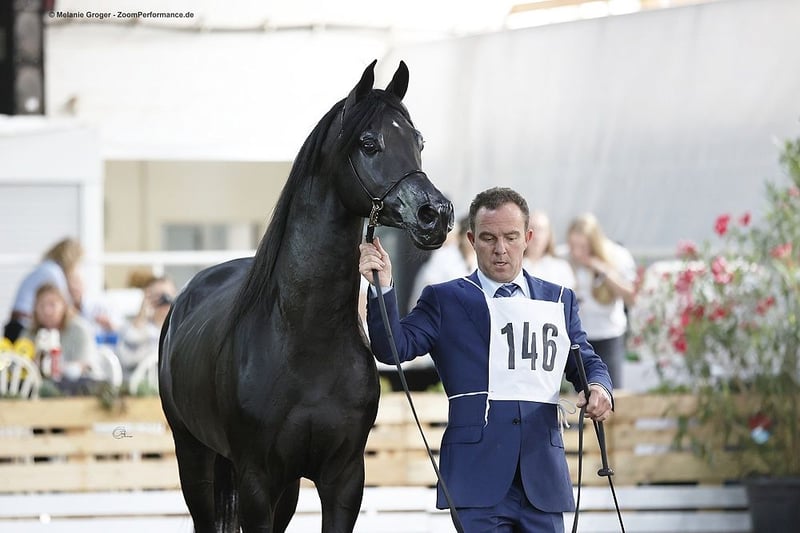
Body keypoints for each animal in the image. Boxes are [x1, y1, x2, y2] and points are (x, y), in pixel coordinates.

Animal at [158, 60, 454, 533]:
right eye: (368, 143)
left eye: (419, 142)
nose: (436, 214)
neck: (305, 339)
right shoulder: (257, 482)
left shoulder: (344, 480)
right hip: (194, 459)